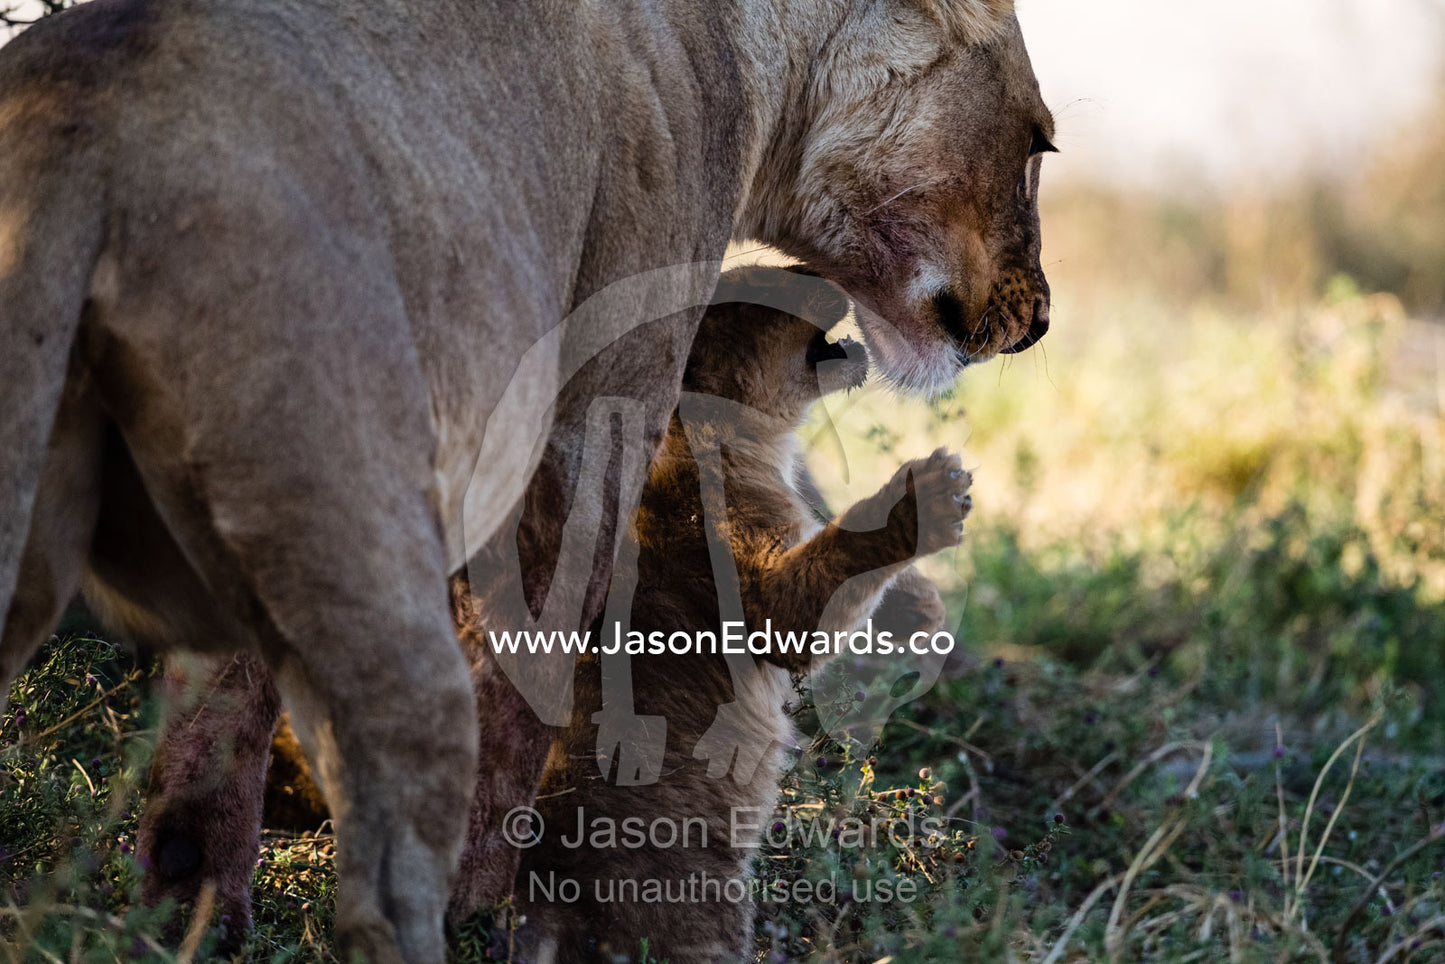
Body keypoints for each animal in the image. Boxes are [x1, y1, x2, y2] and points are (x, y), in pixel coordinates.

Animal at [497, 267, 970, 963]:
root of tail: (544, 888)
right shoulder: (752, 591)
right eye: (770, 284)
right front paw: (926, 499)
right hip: (703, 904)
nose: (819, 272)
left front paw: (924, 605)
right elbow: (826, 570)